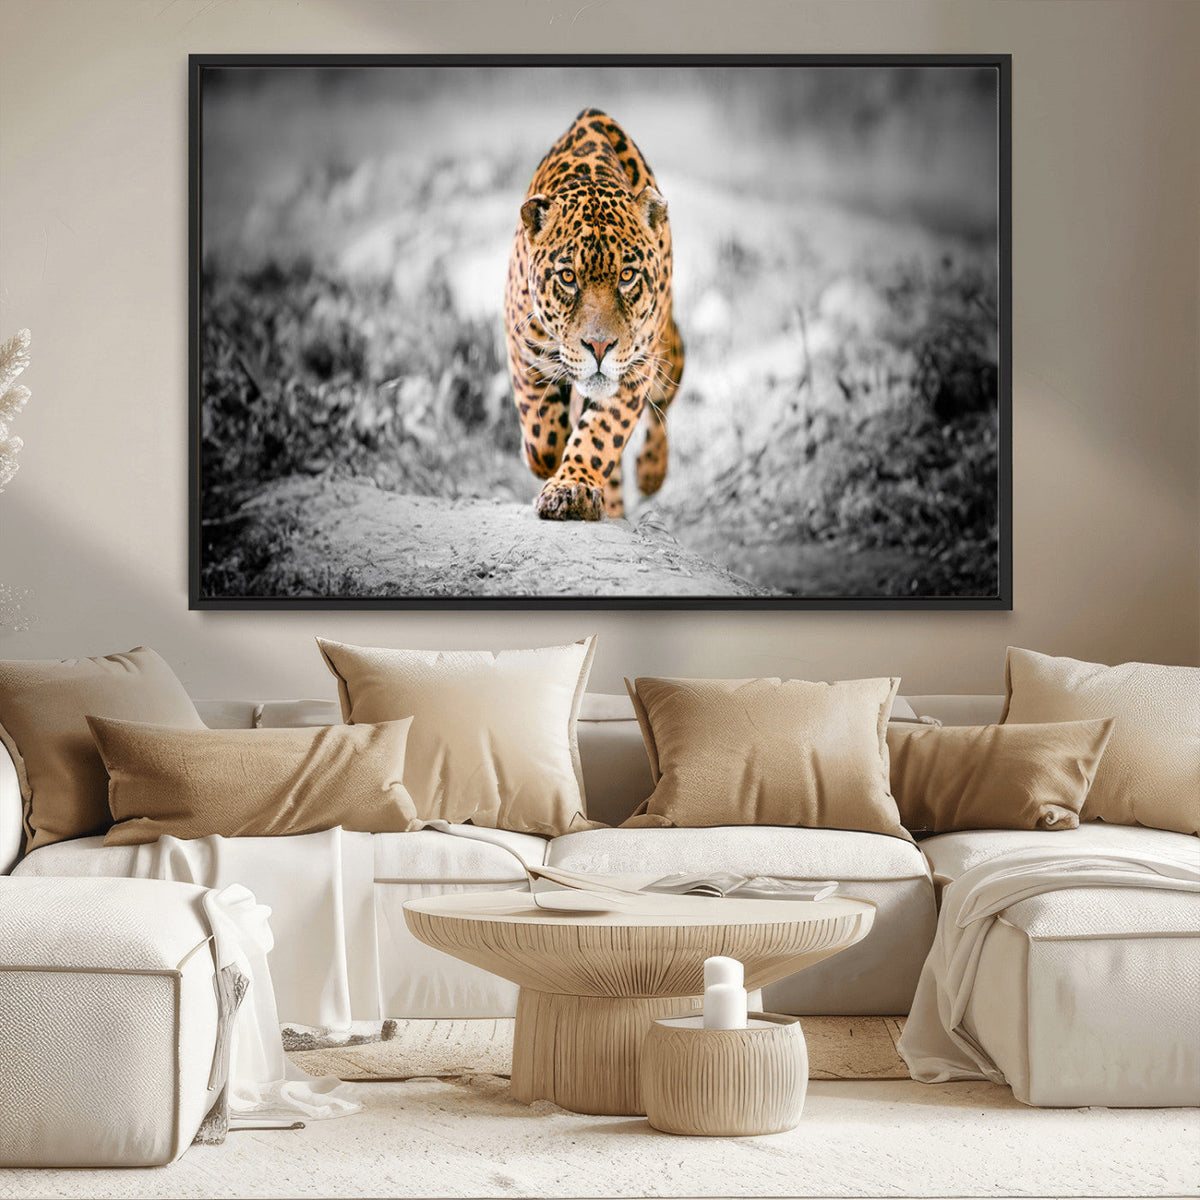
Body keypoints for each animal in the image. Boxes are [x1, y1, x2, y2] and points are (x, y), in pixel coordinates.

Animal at [504, 108, 685, 520]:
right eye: (568, 277)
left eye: (627, 276)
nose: (599, 347)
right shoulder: (522, 345)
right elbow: (541, 434)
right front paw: (547, 460)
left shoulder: (636, 367)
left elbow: (601, 434)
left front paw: (572, 488)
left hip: (667, 351)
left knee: (663, 405)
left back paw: (650, 473)